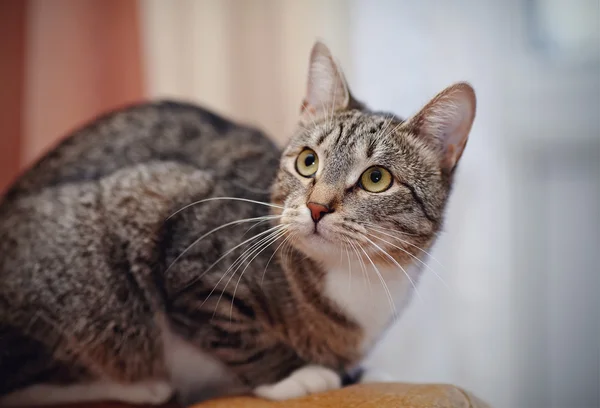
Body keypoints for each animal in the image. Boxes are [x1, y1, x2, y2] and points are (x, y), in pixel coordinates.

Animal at [0, 41, 478, 404]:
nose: (317, 207)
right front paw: (298, 374)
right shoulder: (179, 231)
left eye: (376, 179)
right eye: (308, 162)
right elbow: (236, 331)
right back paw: (144, 387)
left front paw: (358, 374)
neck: (352, 280)